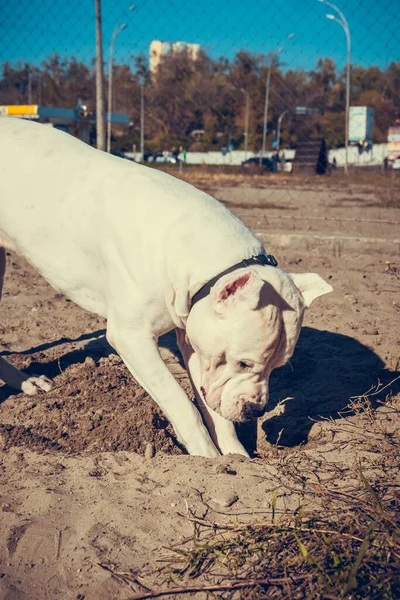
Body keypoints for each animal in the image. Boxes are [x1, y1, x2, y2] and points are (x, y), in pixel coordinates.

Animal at [0, 119, 332, 458]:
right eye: (243, 362)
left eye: (278, 366)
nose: (255, 410)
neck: (199, 255)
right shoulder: (132, 338)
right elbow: (182, 404)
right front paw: (205, 455)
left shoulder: (197, 341)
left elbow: (215, 412)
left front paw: (233, 459)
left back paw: (26, 383)